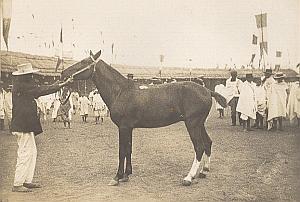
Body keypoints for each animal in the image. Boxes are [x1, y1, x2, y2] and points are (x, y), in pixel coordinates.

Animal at [61, 50, 226, 186]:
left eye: (84, 62)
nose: (63, 72)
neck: (120, 91)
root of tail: (207, 90)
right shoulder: (129, 128)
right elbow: (128, 149)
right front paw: (126, 175)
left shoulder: (123, 127)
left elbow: (122, 151)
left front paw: (117, 177)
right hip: (200, 124)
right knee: (208, 143)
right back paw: (204, 171)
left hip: (192, 124)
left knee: (199, 147)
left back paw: (188, 178)